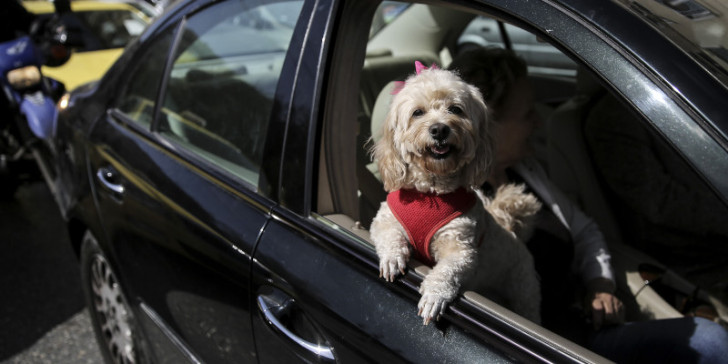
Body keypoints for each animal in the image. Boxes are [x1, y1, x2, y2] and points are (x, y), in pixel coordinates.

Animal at [370, 61, 540, 324]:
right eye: (418, 112)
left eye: (456, 109)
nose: (439, 129)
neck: (431, 193)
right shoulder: (385, 220)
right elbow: (388, 235)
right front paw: (391, 258)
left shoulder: (461, 249)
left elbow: (447, 271)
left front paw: (434, 296)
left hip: (524, 293)